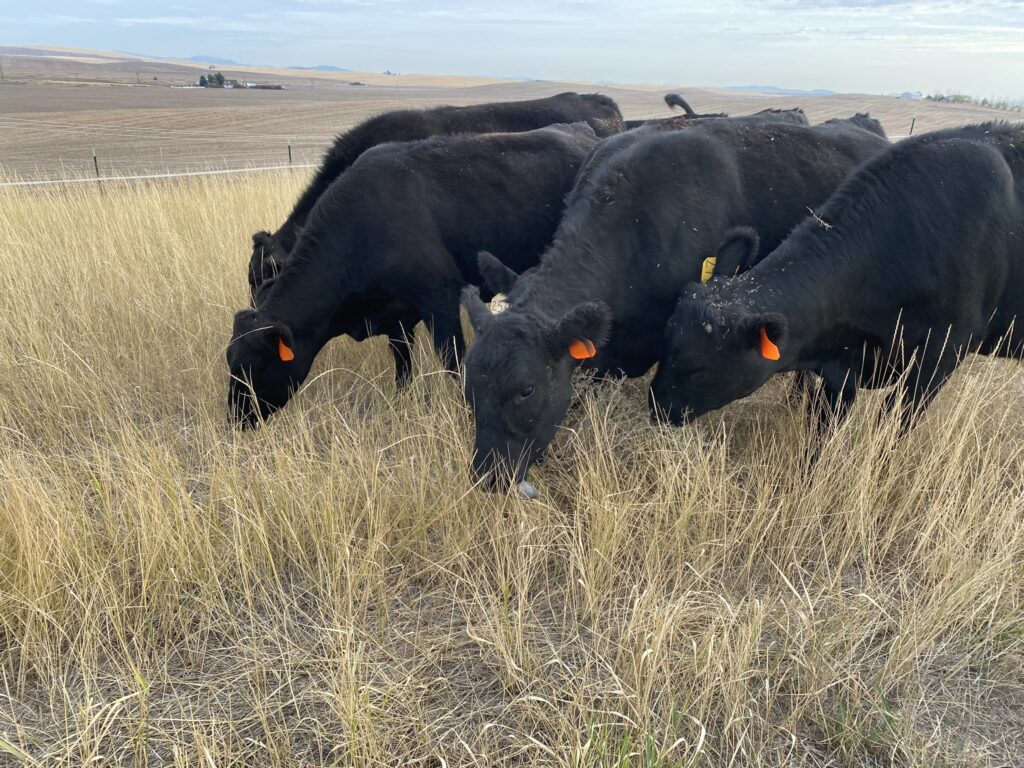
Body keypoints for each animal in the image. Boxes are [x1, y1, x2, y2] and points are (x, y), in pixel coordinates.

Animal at [226, 123, 598, 430]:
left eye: (255, 366)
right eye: (231, 363)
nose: (236, 418)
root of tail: (582, 133)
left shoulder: (441, 302)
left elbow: (454, 363)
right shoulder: (397, 320)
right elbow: (402, 368)